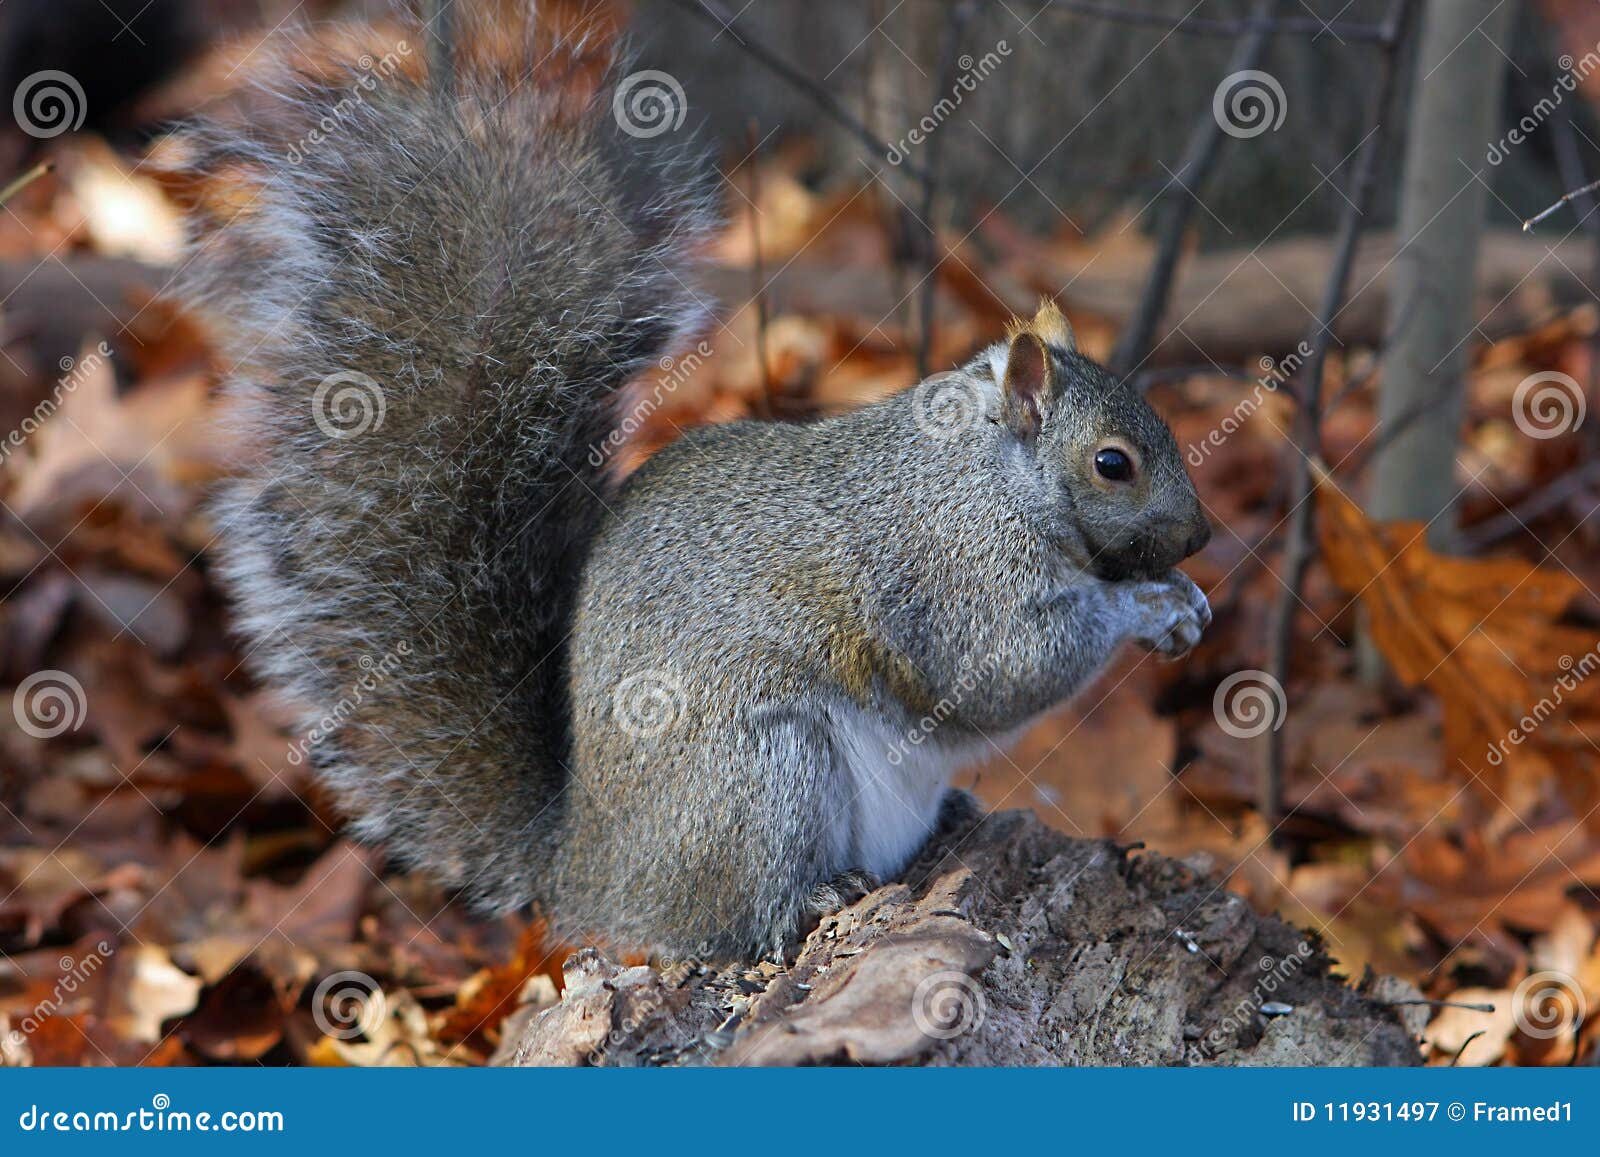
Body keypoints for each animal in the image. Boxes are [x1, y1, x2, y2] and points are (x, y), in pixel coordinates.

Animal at [174, 4, 1213, 962]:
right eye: (1112, 463)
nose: (1201, 538)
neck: (985, 470)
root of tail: (585, 875)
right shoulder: (949, 569)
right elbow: (1001, 668)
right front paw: (1148, 606)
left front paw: (1183, 597)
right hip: (759, 771)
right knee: (735, 916)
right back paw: (806, 898)